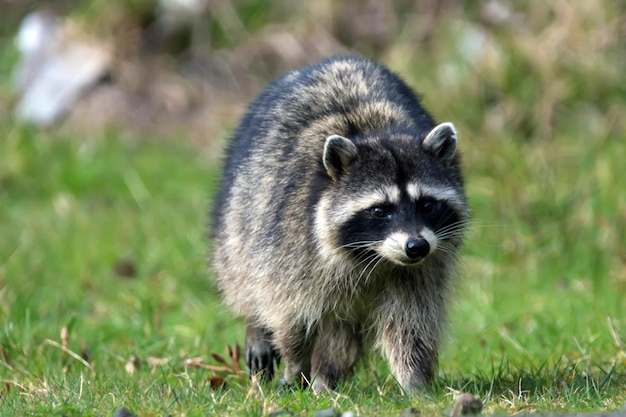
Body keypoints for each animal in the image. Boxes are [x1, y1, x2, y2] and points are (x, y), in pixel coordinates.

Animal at [211, 54, 468, 390]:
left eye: (426, 205)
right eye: (379, 211)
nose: (416, 246)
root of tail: (337, 60)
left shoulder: (423, 269)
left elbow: (411, 322)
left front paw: (415, 381)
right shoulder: (292, 246)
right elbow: (291, 316)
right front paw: (294, 365)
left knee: (342, 332)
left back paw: (326, 377)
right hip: (241, 212)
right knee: (242, 270)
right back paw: (260, 332)